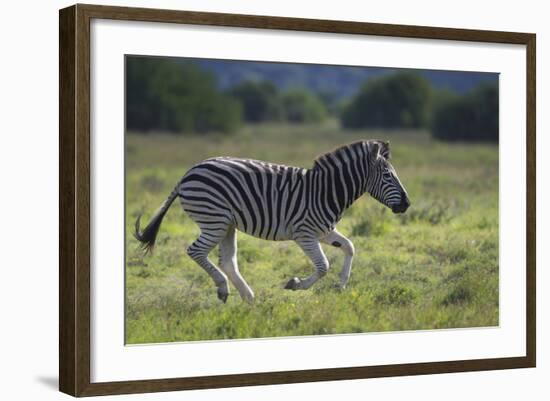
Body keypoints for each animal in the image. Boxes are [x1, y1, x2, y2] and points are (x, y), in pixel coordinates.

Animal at [134, 139, 410, 302]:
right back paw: (224, 288)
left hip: (227, 224)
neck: (326, 190)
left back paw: (248, 297)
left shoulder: (323, 231)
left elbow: (350, 247)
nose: (407, 204)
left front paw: (341, 285)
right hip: (215, 220)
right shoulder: (304, 233)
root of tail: (189, 172)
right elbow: (323, 266)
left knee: (227, 261)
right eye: (388, 176)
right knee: (196, 251)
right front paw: (295, 284)